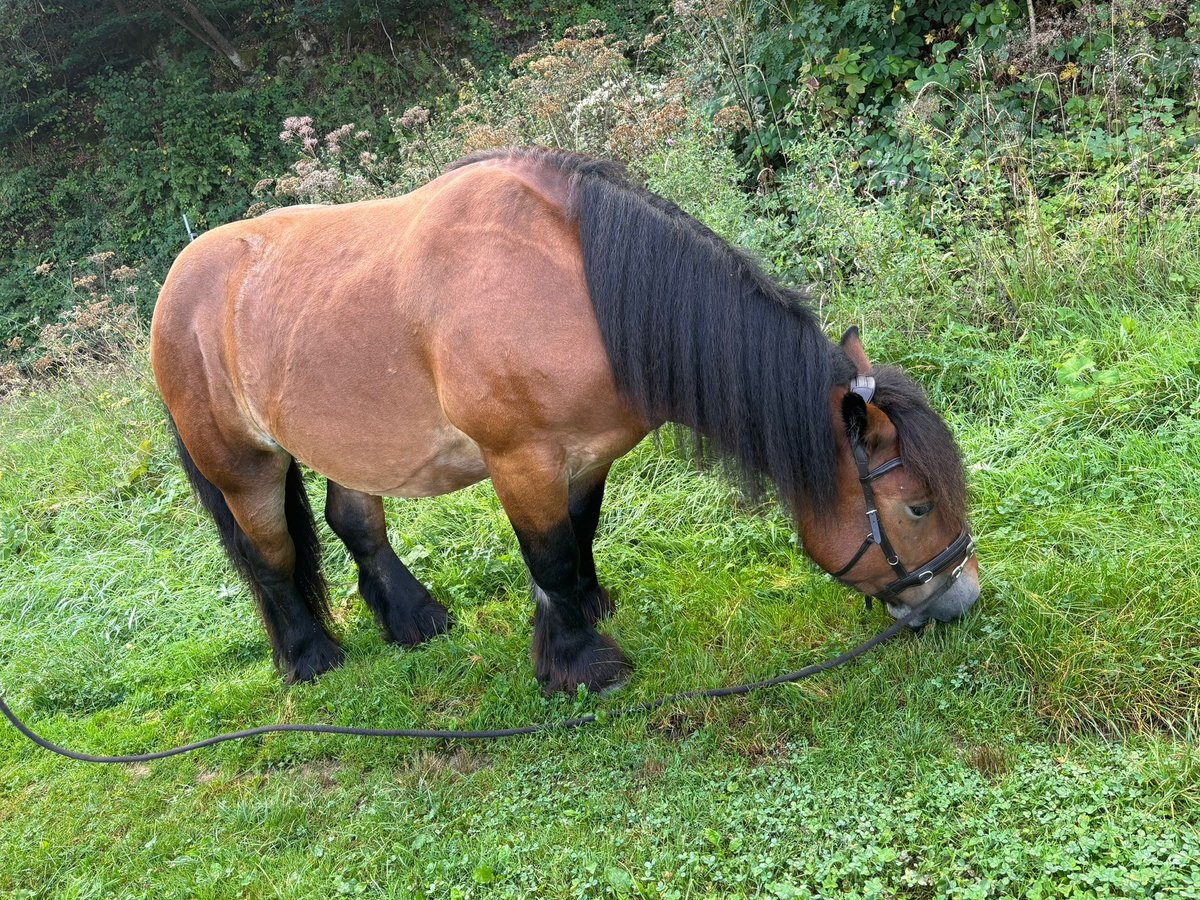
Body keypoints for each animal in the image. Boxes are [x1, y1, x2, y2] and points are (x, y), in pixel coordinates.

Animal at [150, 150, 979, 696]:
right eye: (916, 505)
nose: (961, 599)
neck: (573, 282)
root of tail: (177, 282)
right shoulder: (523, 459)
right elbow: (547, 556)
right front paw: (581, 662)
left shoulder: (589, 455)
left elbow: (579, 536)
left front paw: (587, 608)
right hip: (243, 467)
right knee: (272, 556)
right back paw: (308, 656)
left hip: (352, 441)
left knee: (355, 521)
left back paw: (414, 619)